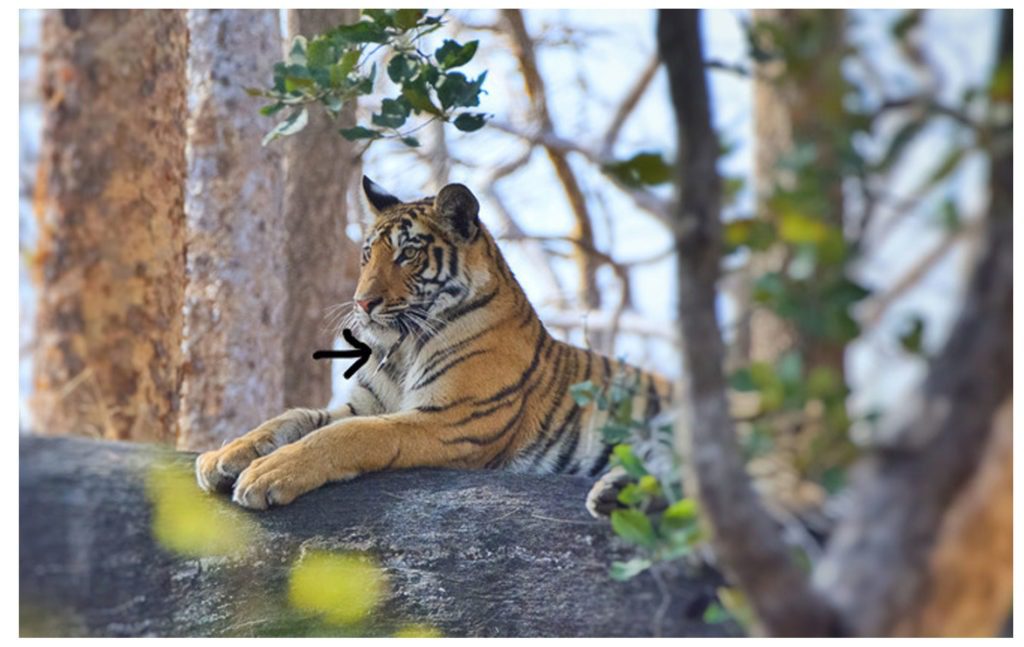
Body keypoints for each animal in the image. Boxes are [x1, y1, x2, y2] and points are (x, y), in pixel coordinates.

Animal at [193, 177, 671, 515]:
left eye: (407, 254)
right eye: (367, 254)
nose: (362, 303)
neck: (402, 347)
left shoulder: (450, 419)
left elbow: (348, 435)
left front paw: (268, 473)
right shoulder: (365, 404)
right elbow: (293, 418)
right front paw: (223, 456)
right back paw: (614, 493)